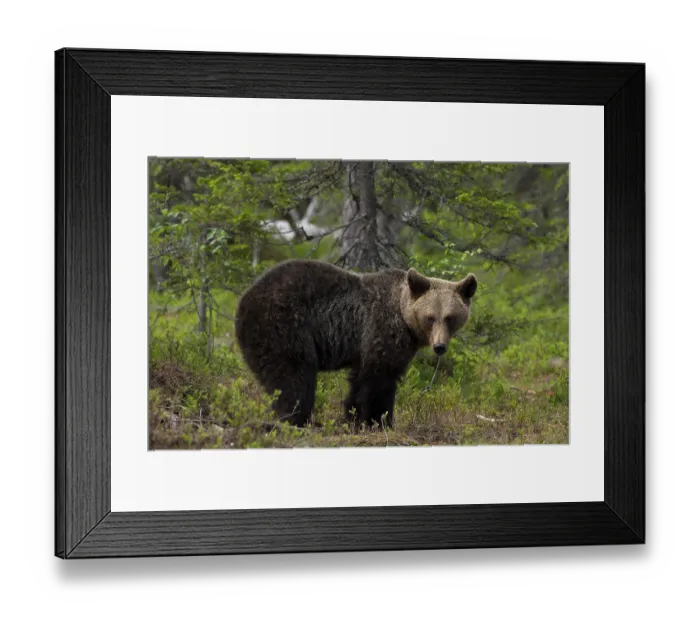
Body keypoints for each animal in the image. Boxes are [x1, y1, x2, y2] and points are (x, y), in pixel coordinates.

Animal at [234, 259, 477, 430]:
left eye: (450, 317)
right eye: (430, 317)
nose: (439, 347)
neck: (405, 320)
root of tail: (243, 301)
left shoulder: (366, 346)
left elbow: (360, 381)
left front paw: (355, 418)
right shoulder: (381, 329)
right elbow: (378, 379)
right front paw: (377, 421)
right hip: (282, 325)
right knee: (294, 376)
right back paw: (296, 419)